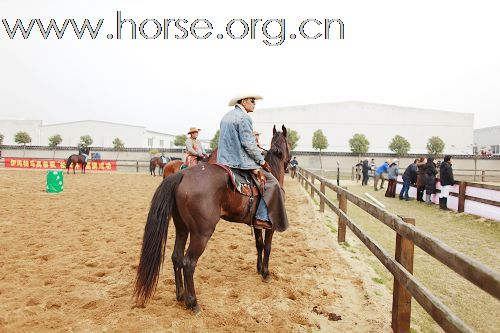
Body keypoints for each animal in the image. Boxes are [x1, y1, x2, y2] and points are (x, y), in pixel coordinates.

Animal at [135, 124, 292, 312]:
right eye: (289, 143)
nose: (291, 163)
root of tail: (182, 175)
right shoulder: (271, 225)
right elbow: (267, 247)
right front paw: (266, 274)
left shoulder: (258, 224)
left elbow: (259, 245)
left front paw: (259, 268)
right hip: (201, 233)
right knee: (189, 263)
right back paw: (193, 303)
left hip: (182, 228)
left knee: (176, 257)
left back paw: (180, 295)